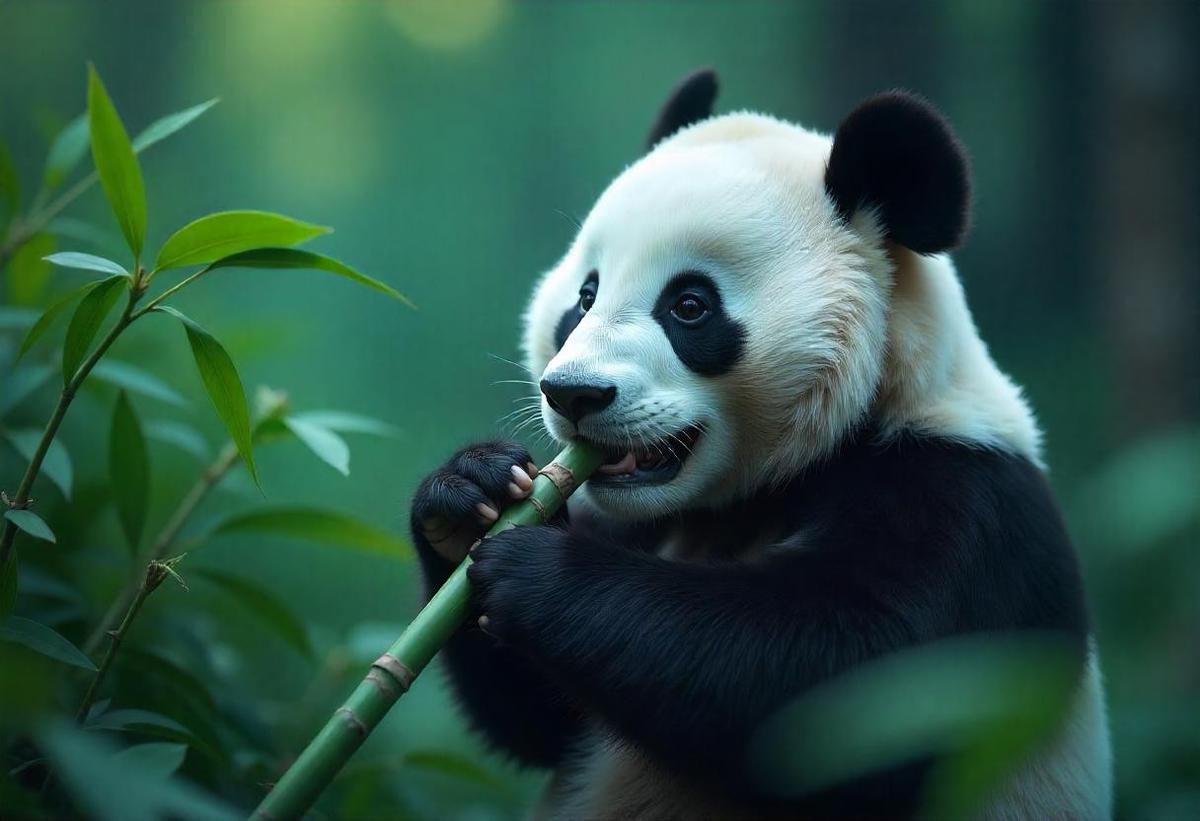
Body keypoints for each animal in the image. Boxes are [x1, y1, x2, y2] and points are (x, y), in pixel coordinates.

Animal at [410, 69, 1112, 819]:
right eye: (585, 296)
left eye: (690, 305)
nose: (573, 393)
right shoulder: (647, 523)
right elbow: (538, 720)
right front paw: (469, 495)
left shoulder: (966, 509)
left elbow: (843, 689)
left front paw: (537, 571)